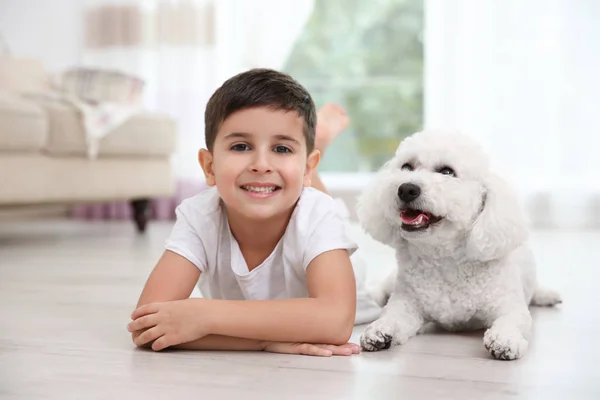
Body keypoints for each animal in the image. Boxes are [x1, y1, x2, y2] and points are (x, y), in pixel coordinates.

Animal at [358, 130, 560, 360]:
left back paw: (547, 296)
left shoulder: (509, 306)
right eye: (406, 167)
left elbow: (512, 320)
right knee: (381, 288)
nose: (407, 188)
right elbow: (393, 316)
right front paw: (379, 330)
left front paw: (505, 340)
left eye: (447, 171)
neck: (445, 258)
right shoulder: (407, 304)